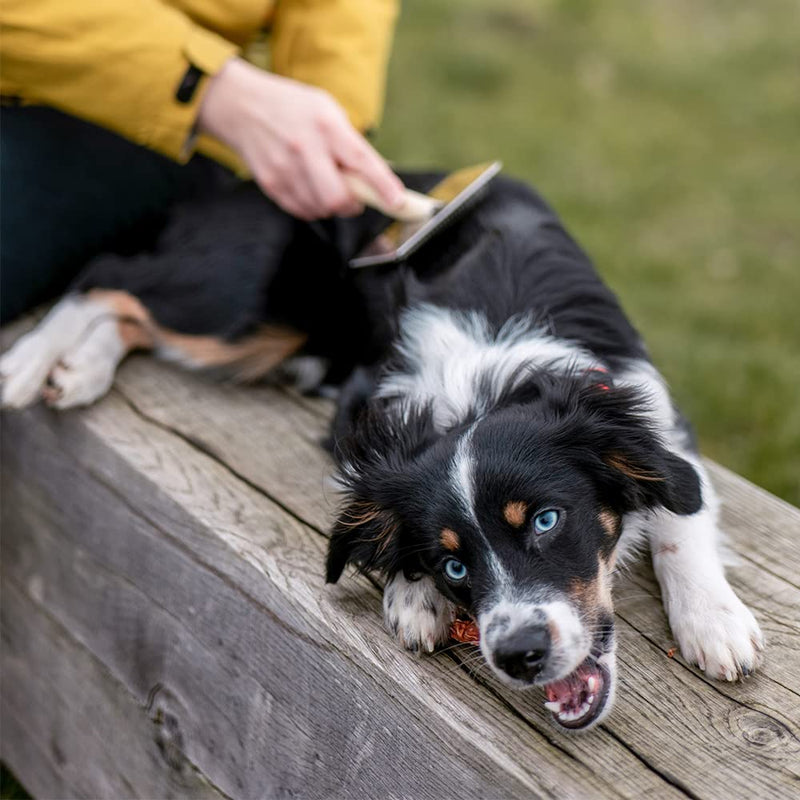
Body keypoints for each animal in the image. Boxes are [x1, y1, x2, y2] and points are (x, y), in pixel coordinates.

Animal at [0, 172, 764, 728]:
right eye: (453, 565)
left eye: (547, 522)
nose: (518, 656)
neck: (492, 379)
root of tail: (220, 187)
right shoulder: (360, 409)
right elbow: (375, 494)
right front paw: (412, 594)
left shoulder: (652, 411)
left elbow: (681, 514)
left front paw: (714, 621)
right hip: (250, 301)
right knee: (107, 276)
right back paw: (27, 364)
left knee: (127, 309)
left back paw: (79, 369)